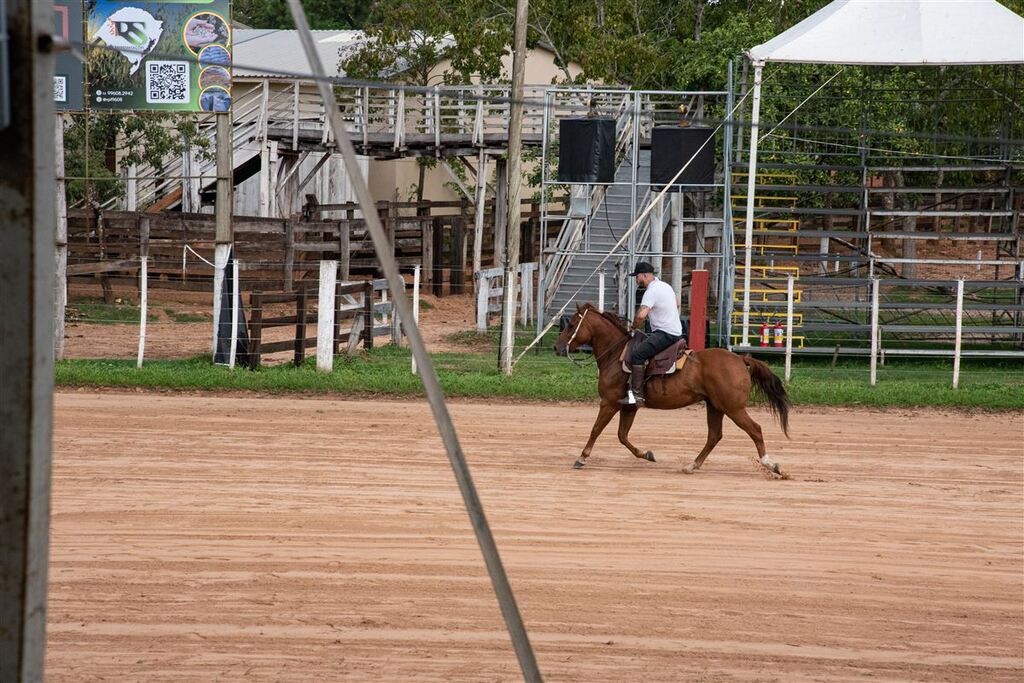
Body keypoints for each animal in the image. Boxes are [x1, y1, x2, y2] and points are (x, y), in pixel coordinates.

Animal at [552, 303, 790, 475]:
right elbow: (622, 436)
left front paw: (582, 457)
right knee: (714, 436)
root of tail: (740, 359)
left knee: (755, 429)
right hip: (715, 406)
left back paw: (771, 465)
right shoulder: (629, 407)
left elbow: (596, 430)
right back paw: (692, 465)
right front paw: (646, 454)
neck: (616, 353)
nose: (557, 347)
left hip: (733, 408)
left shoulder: (609, 403)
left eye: (571, 324)